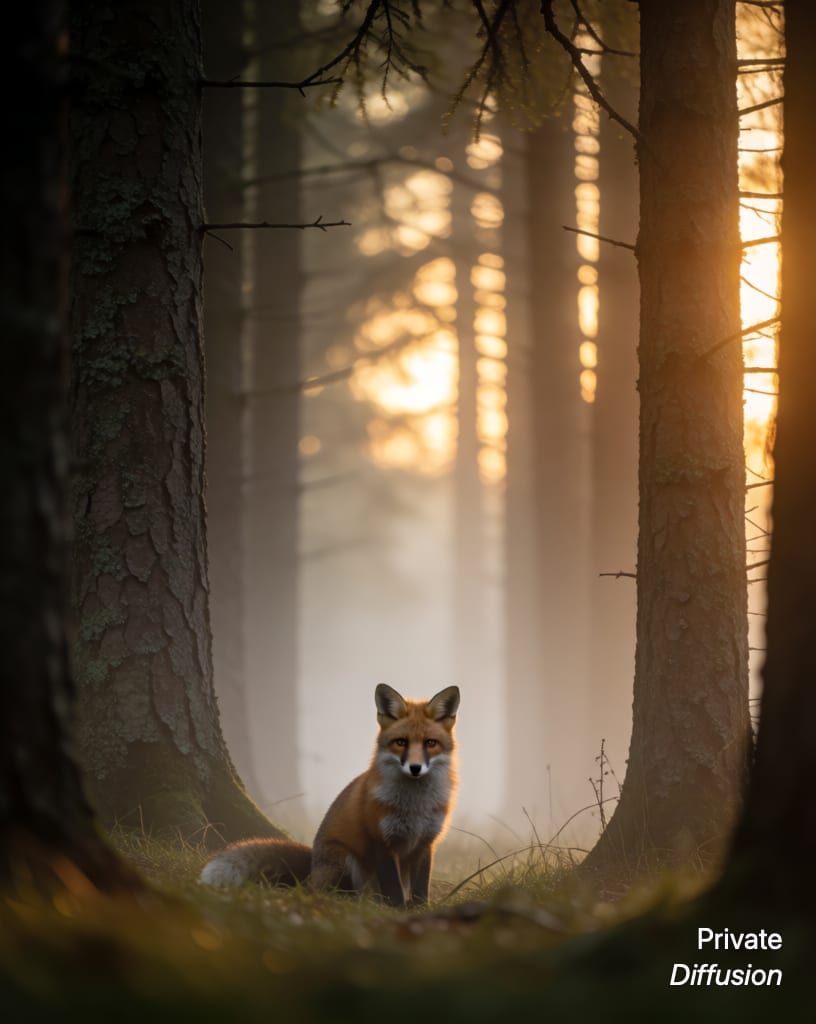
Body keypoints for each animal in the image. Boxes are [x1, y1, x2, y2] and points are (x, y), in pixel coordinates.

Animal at [199, 683, 460, 906]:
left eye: (430, 743)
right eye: (401, 742)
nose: (415, 768)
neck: (415, 807)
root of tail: (312, 863)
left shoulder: (426, 842)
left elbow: (421, 887)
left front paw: (419, 909)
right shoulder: (382, 840)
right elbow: (394, 888)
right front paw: (398, 910)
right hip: (345, 859)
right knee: (333, 893)